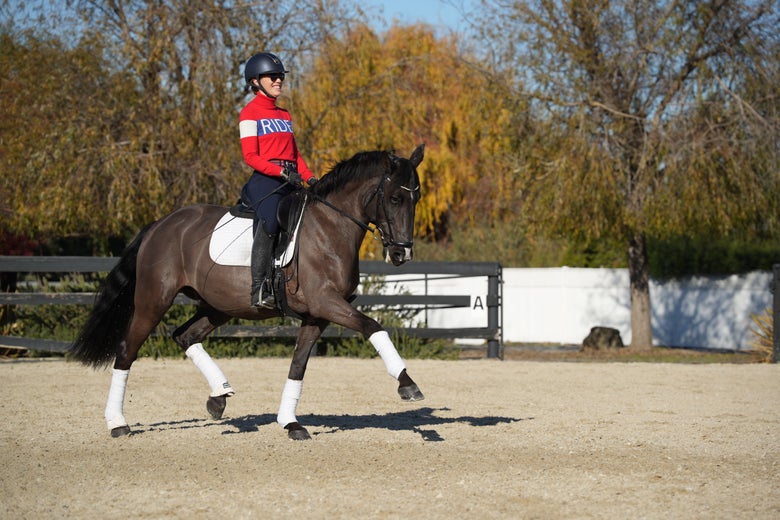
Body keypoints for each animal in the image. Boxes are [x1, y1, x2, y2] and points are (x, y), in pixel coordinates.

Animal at [69, 145, 425, 440]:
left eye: (416, 199)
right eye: (395, 198)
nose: (402, 253)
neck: (330, 226)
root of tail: (161, 224)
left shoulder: (318, 315)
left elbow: (298, 366)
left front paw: (290, 423)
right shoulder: (326, 302)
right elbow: (373, 327)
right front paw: (408, 385)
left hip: (219, 306)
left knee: (185, 335)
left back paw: (219, 396)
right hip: (153, 301)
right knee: (126, 351)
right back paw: (118, 423)